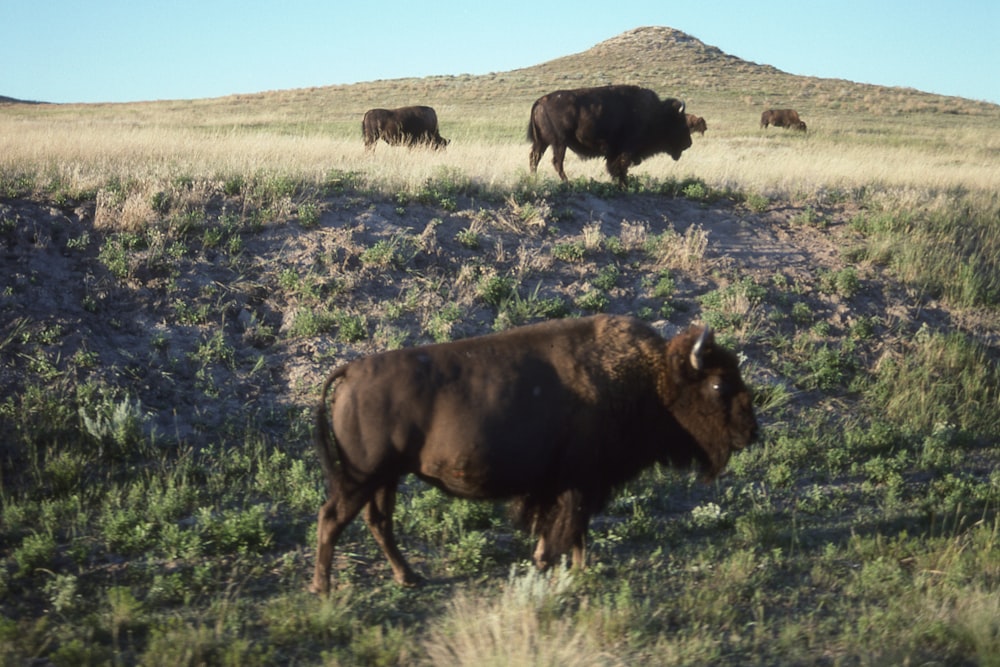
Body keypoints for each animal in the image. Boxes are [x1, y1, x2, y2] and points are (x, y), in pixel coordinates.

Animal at [312, 316, 756, 592]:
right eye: (719, 385)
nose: (751, 431)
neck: (653, 377)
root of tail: (351, 371)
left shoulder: (570, 486)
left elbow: (568, 529)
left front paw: (563, 565)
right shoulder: (581, 483)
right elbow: (571, 527)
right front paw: (561, 566)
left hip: (385, 477)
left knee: (378, 522)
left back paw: (408, 578)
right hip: (362, 476)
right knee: (333, 518)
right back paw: (324, 588)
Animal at [528, 85, 692, 188]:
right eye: (681, 123)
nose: (689, 143)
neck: (656, 115)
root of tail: (540, 101)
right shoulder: (626, 151)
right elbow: (620, 168)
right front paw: (624, 185)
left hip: (542, 142)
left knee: (535, 159)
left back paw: (534, 179)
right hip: (559, 143)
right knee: (557, 162)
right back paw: (568, 183)